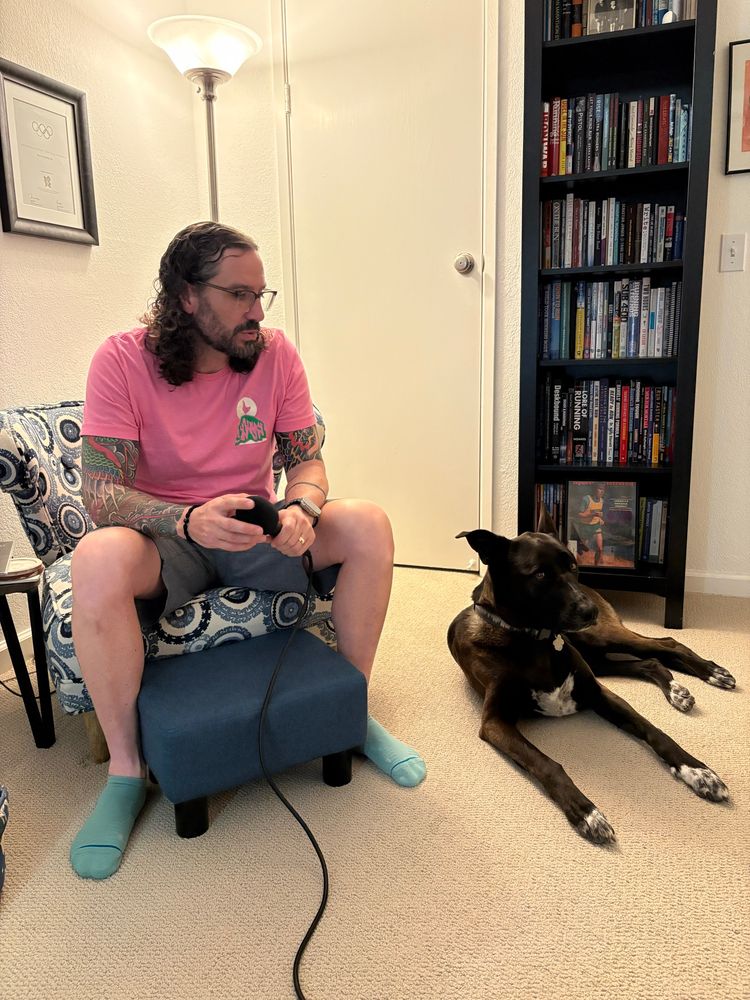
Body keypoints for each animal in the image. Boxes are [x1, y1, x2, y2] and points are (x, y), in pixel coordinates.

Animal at [447, 509, 735, 844]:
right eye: (539, 575)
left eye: (573, 565)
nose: (590, 611)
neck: (533, 639)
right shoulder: (495, 723)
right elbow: (547, 763)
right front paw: (586, 813)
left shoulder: (599, 693)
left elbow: (655, 731)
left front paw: (697, 771)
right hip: (596, 655)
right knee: (650, 661)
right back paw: (678, 690)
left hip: (598, 638)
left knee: (666, 644)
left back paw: (711, 673)